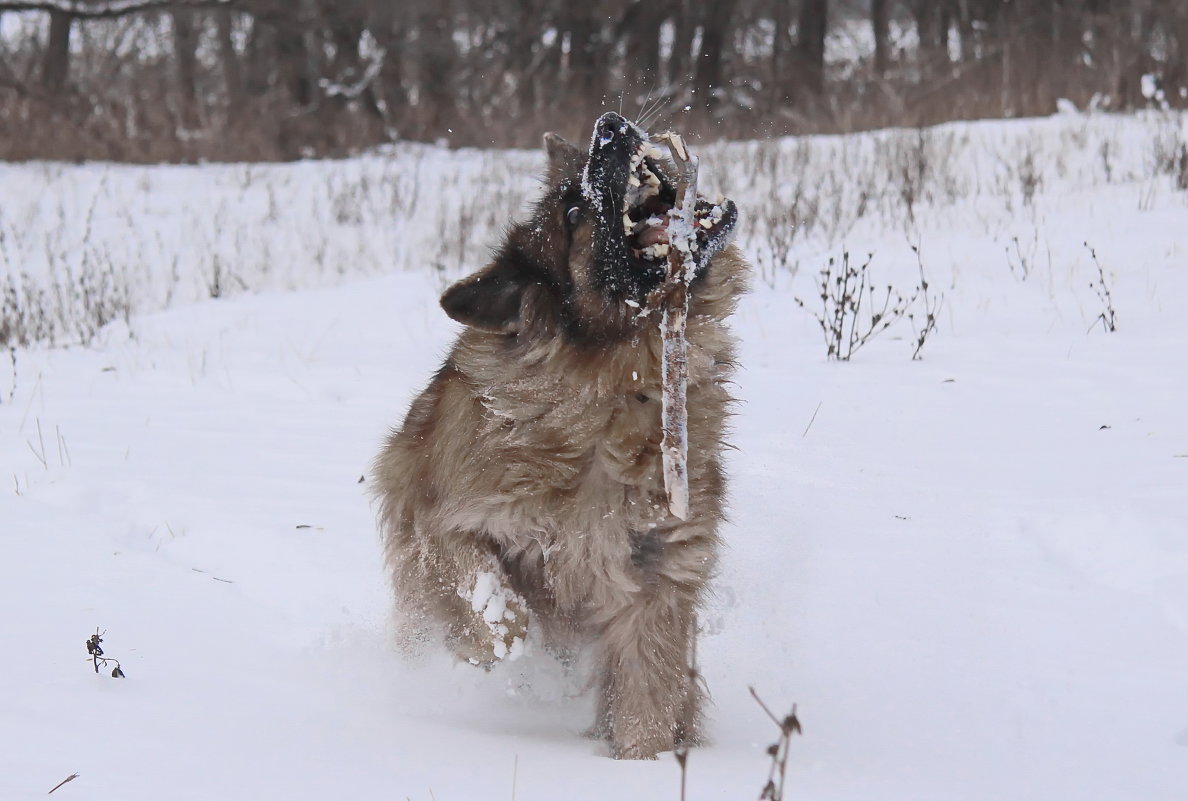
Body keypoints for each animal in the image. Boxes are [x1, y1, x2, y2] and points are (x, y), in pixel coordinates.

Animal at [370, 110, 746, 755]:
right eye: (572, 214)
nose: (610, 124)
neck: (622, 385)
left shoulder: (656, 572)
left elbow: (649, 690)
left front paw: (644, 762)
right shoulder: (435, 514)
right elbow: (483, 585)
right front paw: (498, 644)